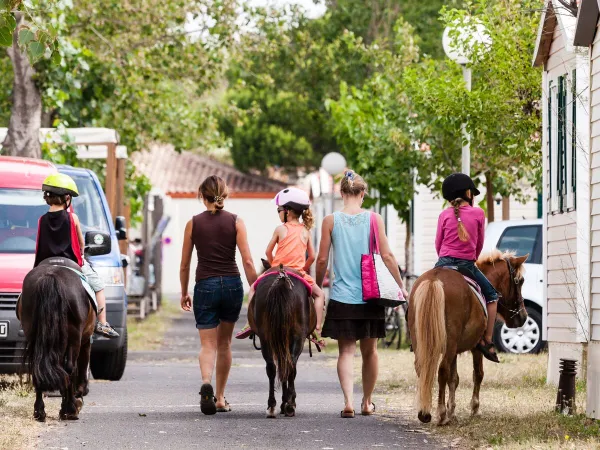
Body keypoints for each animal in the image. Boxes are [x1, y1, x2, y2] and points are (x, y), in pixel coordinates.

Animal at [248, 264, 316, 418]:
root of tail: (281, 279)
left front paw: (283, 402)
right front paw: (287, 402)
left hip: (266, 336)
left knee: (272, 367)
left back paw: (272, 406)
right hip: (297, 336)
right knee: (291, 366)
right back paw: (289, 405)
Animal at [406, 251, 528, 424]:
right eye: (521, 281)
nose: (523, 317)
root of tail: (434, 280)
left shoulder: (455, 350)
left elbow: (454, 379)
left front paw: (452, 410)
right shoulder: (476, 347)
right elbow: (478, 374)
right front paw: (474, 408)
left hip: (423, 343)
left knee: (422, 368)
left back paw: (425, 412)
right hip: (449, 344)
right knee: (442, 371)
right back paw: (441, 413)